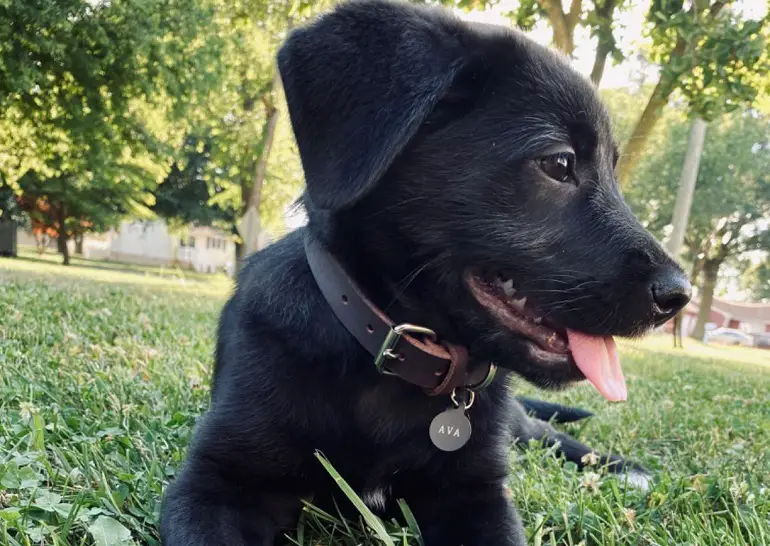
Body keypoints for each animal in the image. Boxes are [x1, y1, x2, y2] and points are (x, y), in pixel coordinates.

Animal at [159, 2, 688, 540]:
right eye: (559, 163)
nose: (678, 296)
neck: (392, 356)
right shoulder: (215, 481)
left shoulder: (477, 492)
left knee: (545, 432)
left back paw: (623, 467)